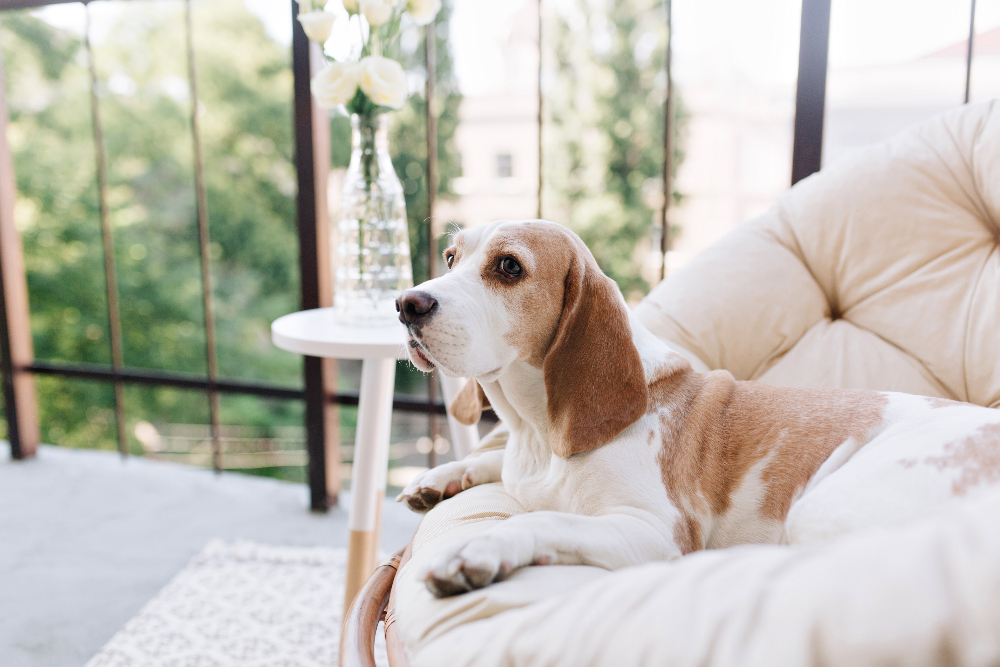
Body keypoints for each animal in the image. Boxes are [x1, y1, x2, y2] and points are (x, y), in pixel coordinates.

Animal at [394, 222, 1000, 596]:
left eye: (508, 267)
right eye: (450, 257)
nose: (406, 303)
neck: (539, 434)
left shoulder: (656, 533)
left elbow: (545, 520)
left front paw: (484, 545)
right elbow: (498, 467)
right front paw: (444, 476)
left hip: (822, 505)